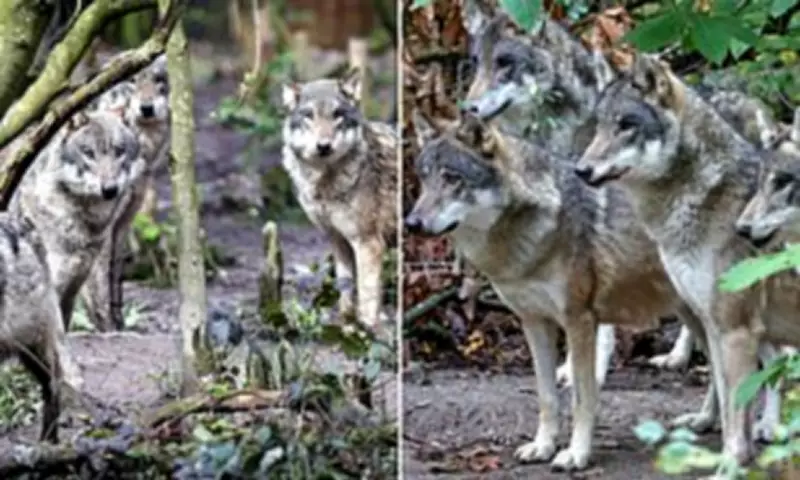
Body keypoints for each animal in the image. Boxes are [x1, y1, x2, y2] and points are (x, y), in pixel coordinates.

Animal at [79, 55, 171, 331]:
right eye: (132, 80)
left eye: (158, 79)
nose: (146, 108)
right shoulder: (101, 226)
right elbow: (98, 279)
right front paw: (106, 327)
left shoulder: (124, 221)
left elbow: (115, 274)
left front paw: (118, 322)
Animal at [281, 68, 397, 329]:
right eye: (309, 116)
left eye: (337, 115)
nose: (324, 146)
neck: (326, 186)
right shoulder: (338, 240)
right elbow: (346, 289)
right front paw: (346, 324)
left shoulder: (369, 243)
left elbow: (367, 296)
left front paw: (367, 328)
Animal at [406, 110, 716, 470]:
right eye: (424, 179)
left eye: (452, 178)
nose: (411, 223)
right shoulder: (533, 322)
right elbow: (547, 396)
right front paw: (542, 446)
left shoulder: (579, 320)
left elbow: (582, 397)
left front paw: (576, 454)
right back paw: (705, 421)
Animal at [573, 52, 800, 465]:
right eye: (601, 126)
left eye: (627, 125)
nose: (581, 170)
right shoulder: (721, 321)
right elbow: (730, 399)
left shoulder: (736, 324)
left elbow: (739, 402)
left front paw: (734, 459)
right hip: (700, 315)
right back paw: (713, 420)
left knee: (775, 361)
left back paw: (770, 427)